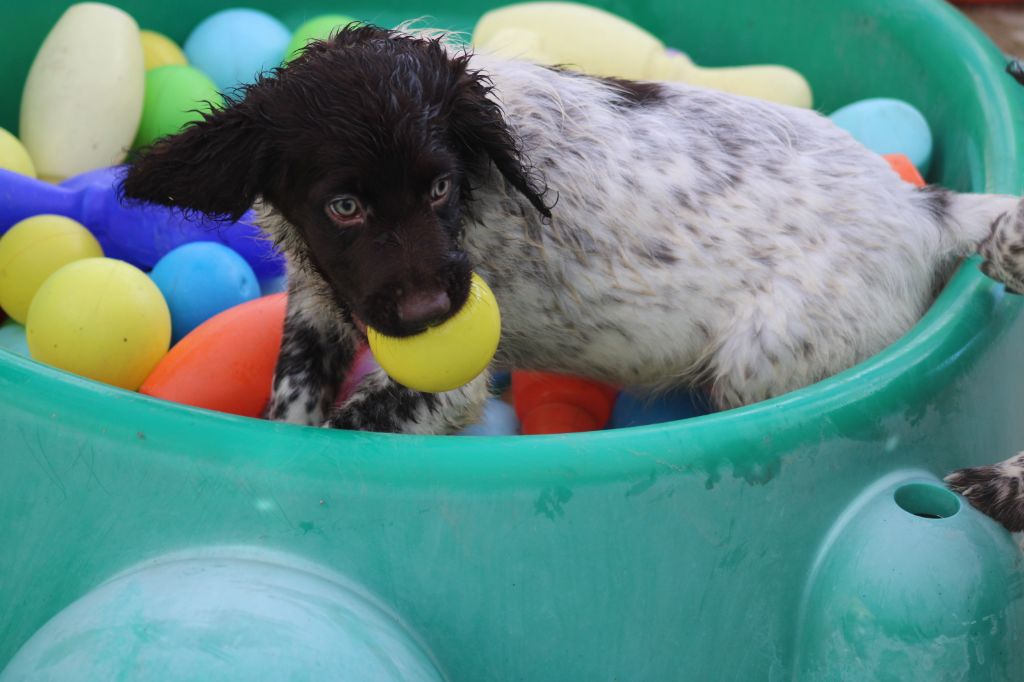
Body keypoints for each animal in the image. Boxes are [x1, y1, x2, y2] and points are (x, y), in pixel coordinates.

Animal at [123, 27, 1024, 532]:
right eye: (343, 205)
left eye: (441, 188)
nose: (430, 309)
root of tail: (921, 208)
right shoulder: (318, 300)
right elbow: (293, 406)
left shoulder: (447, 378)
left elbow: (355, 425)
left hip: (765, 358)